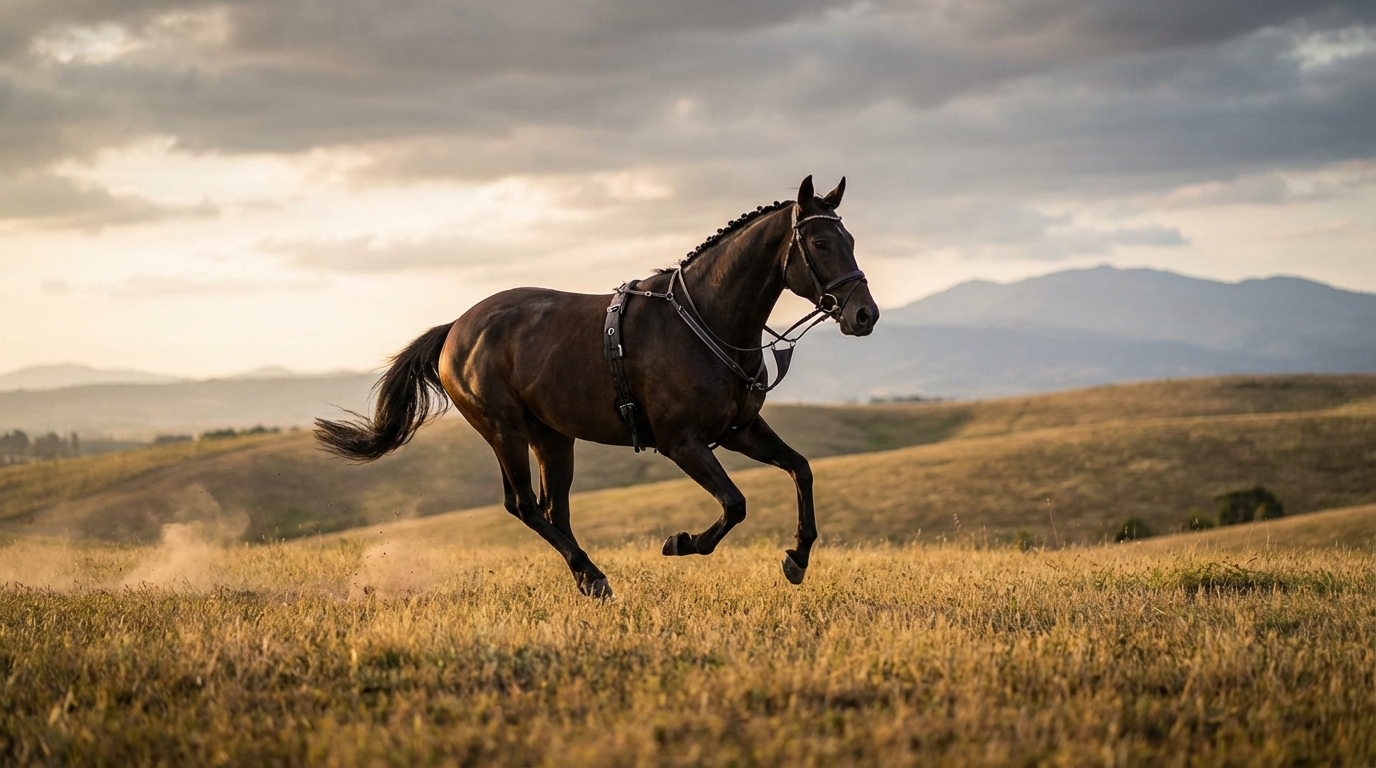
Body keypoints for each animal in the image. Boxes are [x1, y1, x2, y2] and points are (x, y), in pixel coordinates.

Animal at [315, 175, 879, 598]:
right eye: (820, 242)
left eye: (850, 241)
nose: (864, 314)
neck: (704, 320)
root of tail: (456, 329)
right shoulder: (682, 442)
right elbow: (734, 504)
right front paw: (682, 541)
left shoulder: (739, 429)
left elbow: (801, 469)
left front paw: (798, 557)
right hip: (505, 431)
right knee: (525, 506)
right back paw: (593, 575)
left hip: (551, 437)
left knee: (552, 510)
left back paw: (588, 577)